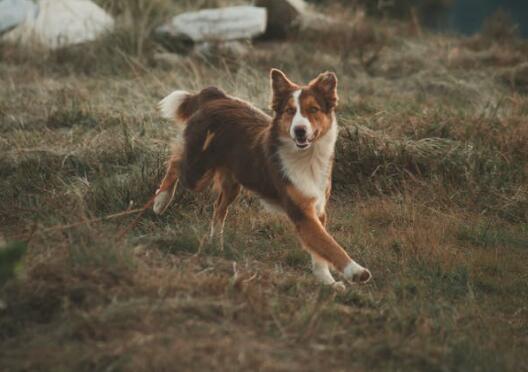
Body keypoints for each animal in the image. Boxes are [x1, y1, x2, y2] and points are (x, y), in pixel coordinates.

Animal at [153, 70, 372, 290]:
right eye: (290, 111)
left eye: (313, 109)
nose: (299, 130)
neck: (307, 157)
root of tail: (215, 97)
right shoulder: (302, 212)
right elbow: (329, 245)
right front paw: (355, 271)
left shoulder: (317, 208)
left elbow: (320, 252)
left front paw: (327, 281)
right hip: (197, 173)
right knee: (176, 161)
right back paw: (161, 201)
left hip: (233, 182)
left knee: (218, 207)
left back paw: (216, 241)